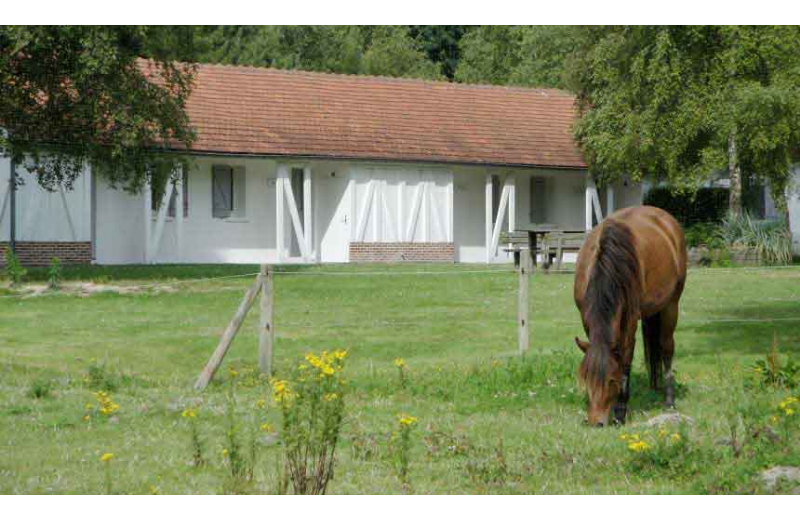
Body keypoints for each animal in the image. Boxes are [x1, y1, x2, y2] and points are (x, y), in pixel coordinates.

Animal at [572, 204, 684, 426]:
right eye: (587, 379)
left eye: (611, 380)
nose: (596, 422)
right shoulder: (586, 318)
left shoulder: (629, 322)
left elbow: (626, 360)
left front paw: (620, 410)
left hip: (671, 305)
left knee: (666, 348)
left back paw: (669, 399)